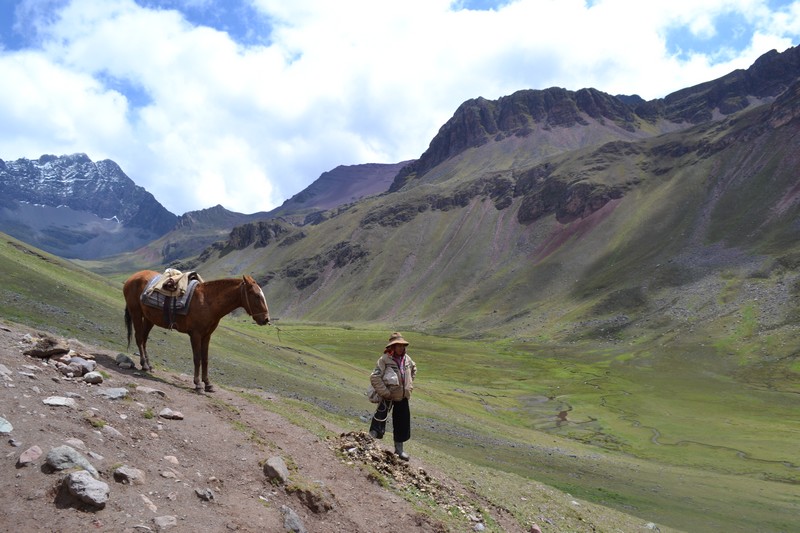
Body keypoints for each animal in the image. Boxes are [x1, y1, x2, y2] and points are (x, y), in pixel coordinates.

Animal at [122, 270, 272, 390]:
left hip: (149, 319)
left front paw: (208, 384)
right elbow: (197, 358)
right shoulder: (195, 335)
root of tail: (132, 277)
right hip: (136, 313)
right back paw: (144, 365)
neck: (208, 301)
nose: (266, 319)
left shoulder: (207, 336)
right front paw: (198, 384)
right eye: (256, 295)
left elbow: (205, 359)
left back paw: (148, 365)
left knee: (144, 340)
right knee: (139, 338)